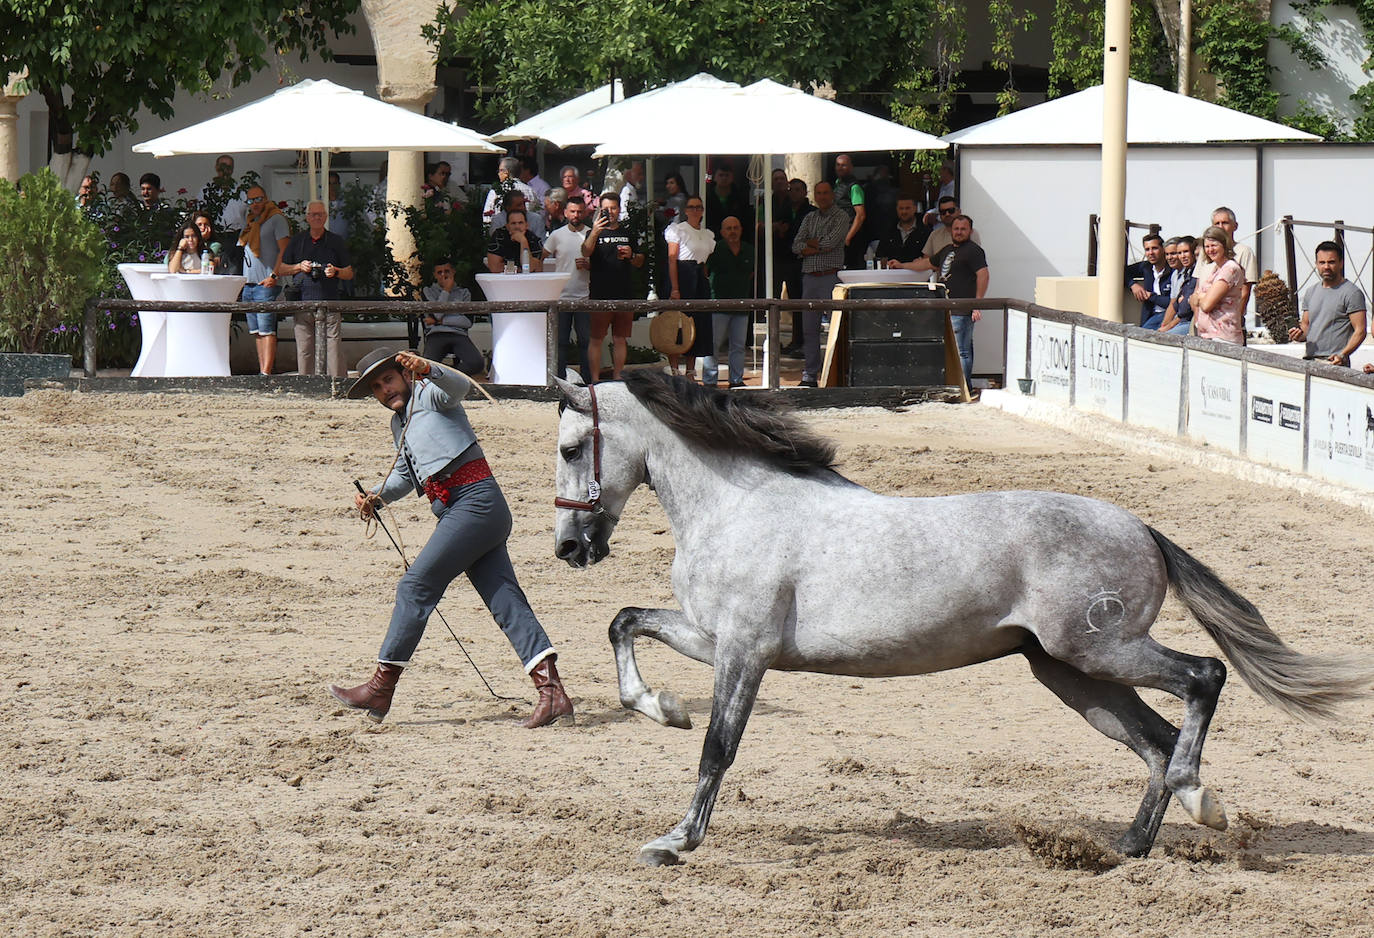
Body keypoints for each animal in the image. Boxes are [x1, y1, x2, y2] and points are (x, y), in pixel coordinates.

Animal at [552, 370, 1368, 867]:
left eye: (569, 449)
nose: (569, 549)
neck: (738, 504)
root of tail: (1141, 528)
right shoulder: (713, 639)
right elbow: (625, 622)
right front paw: (660, 707)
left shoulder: (744, 651)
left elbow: (718, 749)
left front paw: (675, 841)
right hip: (1071, 673)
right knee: (1155, 740)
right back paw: (1130, 845)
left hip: (1099, 650)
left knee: (1203, 679)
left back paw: (1202, 800)